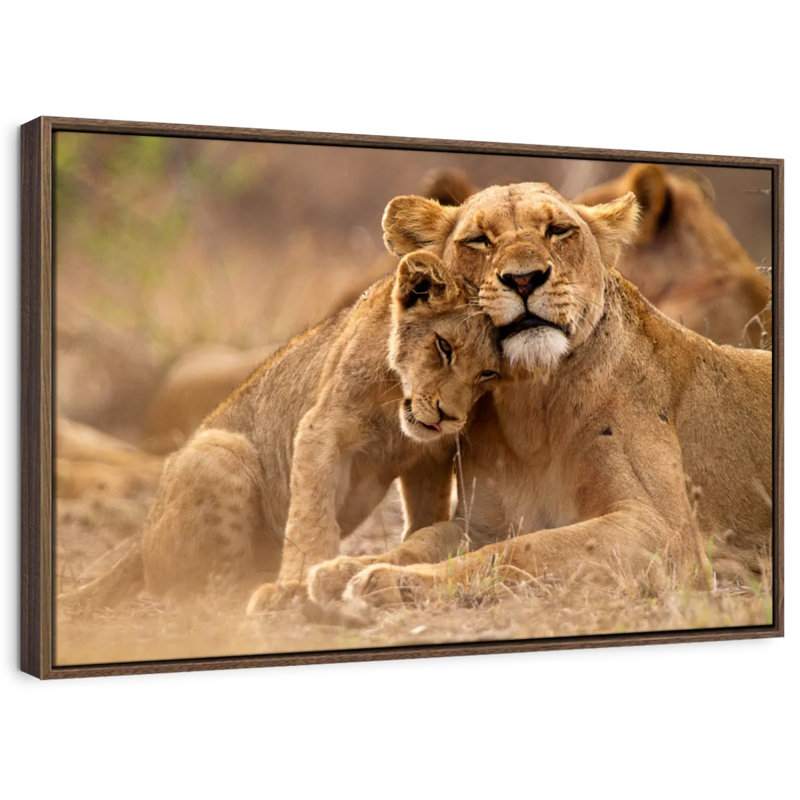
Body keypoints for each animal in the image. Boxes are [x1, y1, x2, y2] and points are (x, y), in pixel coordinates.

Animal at [60, 250, 500, 612]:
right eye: (444, 346)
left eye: (488, 374)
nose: (448, 417)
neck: (396, 405)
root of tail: (141, 538)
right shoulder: (322, 429)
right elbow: (312, 518)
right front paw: (297, 584)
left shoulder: (430, 455)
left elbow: (426, 515)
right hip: (219, 450)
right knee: (202, 593)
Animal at [307, 182, 772, 609]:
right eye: (479, 240)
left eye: (558, 230)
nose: (524, 278)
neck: (531, 405)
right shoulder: (482, 523)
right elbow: (423, 539)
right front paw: (343, 569)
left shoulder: (666, 532)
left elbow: (524, 549)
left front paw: (391, 582)